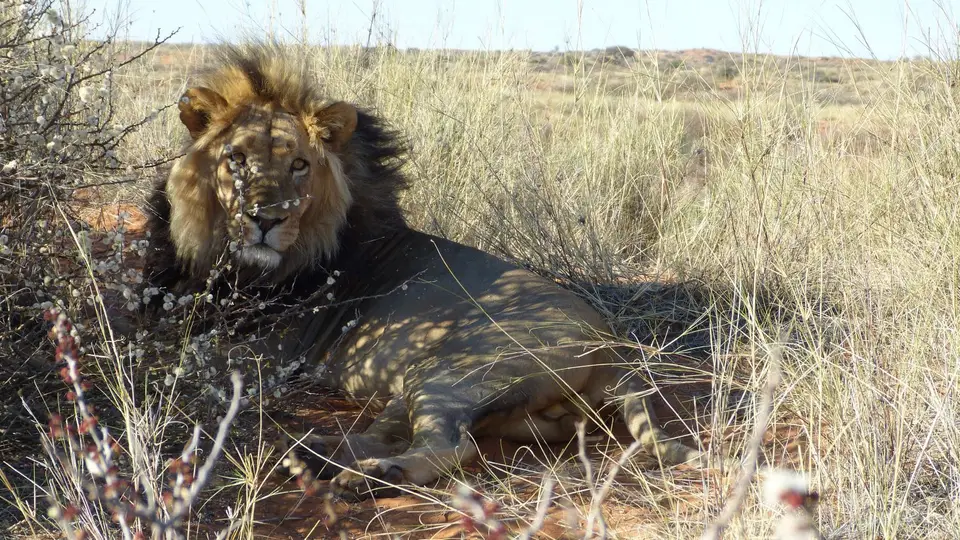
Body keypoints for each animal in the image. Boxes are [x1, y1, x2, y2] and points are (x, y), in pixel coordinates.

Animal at [144, 43, 714, 500]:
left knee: (453, 446)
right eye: (236, 159)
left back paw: (370, 476)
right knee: (387, 434)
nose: (266, 218)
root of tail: (614, 349)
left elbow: (176, 355)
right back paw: (313, 455)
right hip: (435, 387)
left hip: (451, 369)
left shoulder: (268, 353)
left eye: (299, 165)